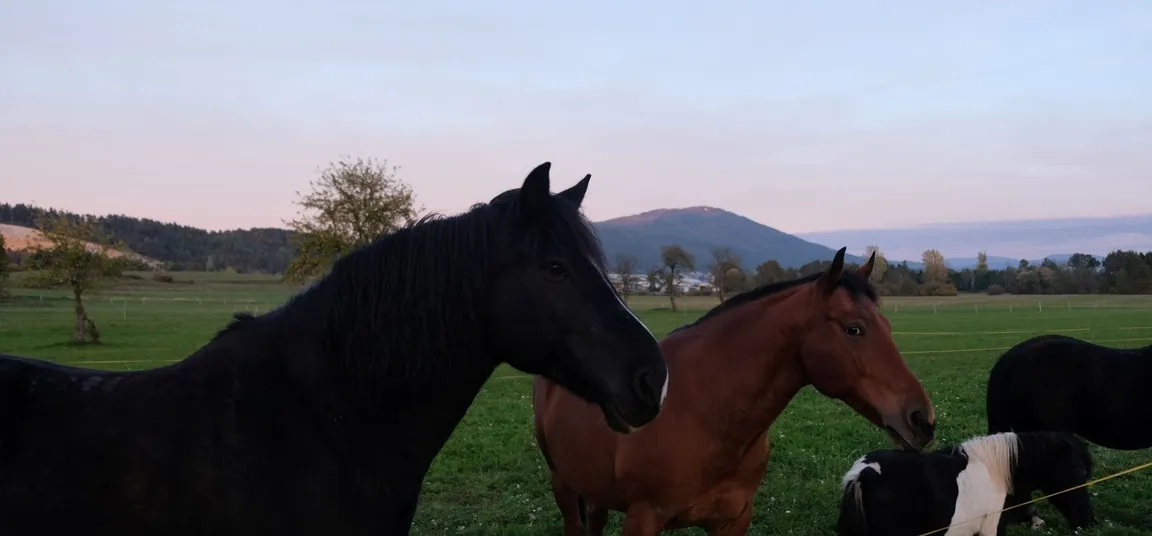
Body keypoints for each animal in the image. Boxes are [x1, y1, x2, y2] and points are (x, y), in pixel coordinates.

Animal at [533, 247, 936, 536]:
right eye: (854, 329)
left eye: (887, 325)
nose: (923, 419)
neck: (702, 415)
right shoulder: (642, 520)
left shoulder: (732, 520)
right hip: (563, 484)